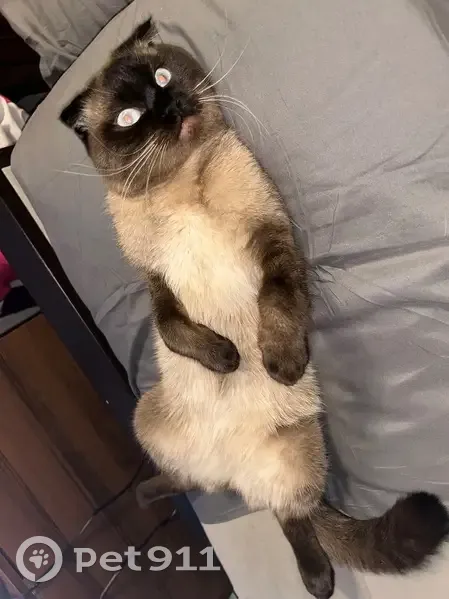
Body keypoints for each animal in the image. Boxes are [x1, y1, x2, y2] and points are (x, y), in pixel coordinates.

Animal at [61, 18, 449, 599]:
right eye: (130, 116)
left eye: (161, 77)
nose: (167, 107)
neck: (181, 185)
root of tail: (230, 473)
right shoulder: (156, 284)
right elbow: (172, 327)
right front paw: (226, 359)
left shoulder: (272, 243)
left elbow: (277, 302)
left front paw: (277, 362)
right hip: (145, 416)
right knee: (189, 481)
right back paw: (148, 496)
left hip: (296, 458)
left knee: (294, 519)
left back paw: (318, 581)